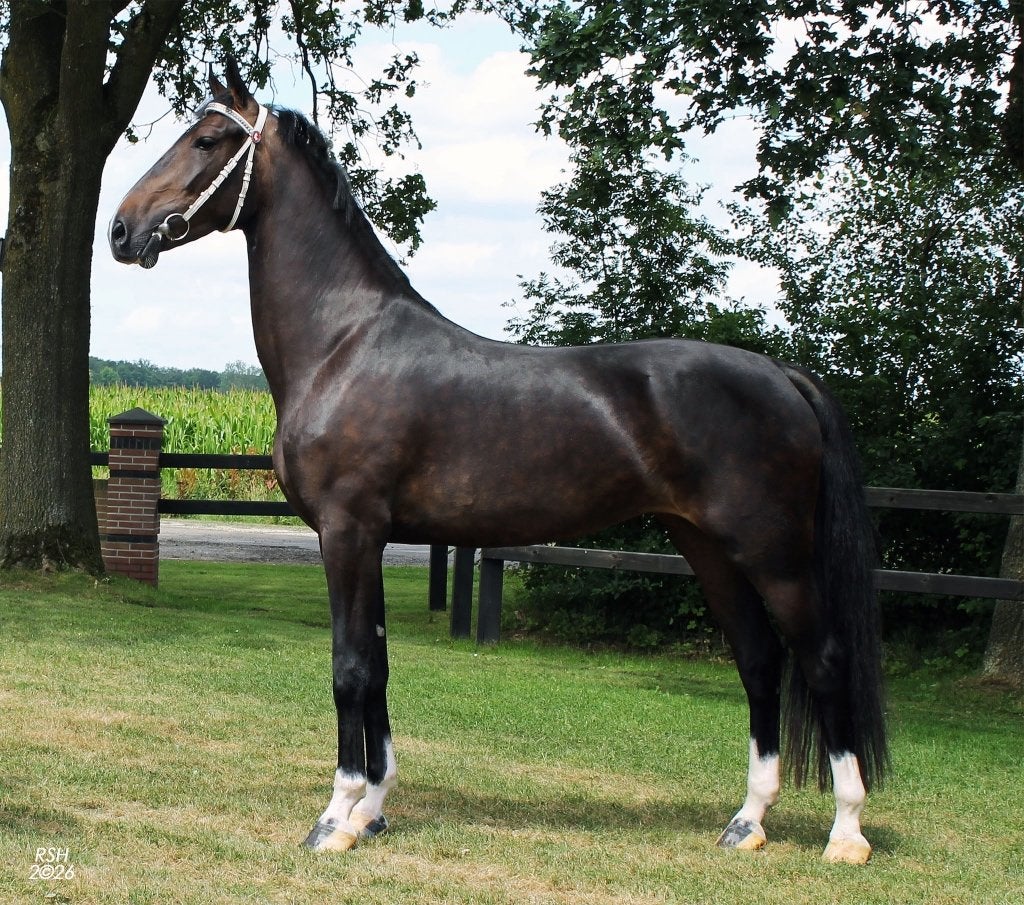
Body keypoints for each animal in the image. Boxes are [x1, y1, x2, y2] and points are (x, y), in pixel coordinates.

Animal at [109, 59, 887, 865]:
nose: (122, 229)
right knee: (760, 661)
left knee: (824, 661)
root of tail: (782, 374)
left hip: (775, 553)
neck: (343, 342)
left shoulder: (346, 532)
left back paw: (846, 831)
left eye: (206, 140)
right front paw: (372, 812)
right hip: (707, 546)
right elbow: (379, 667)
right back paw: (748, 821)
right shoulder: (373, 538)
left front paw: (335, 816)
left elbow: (349, 669)